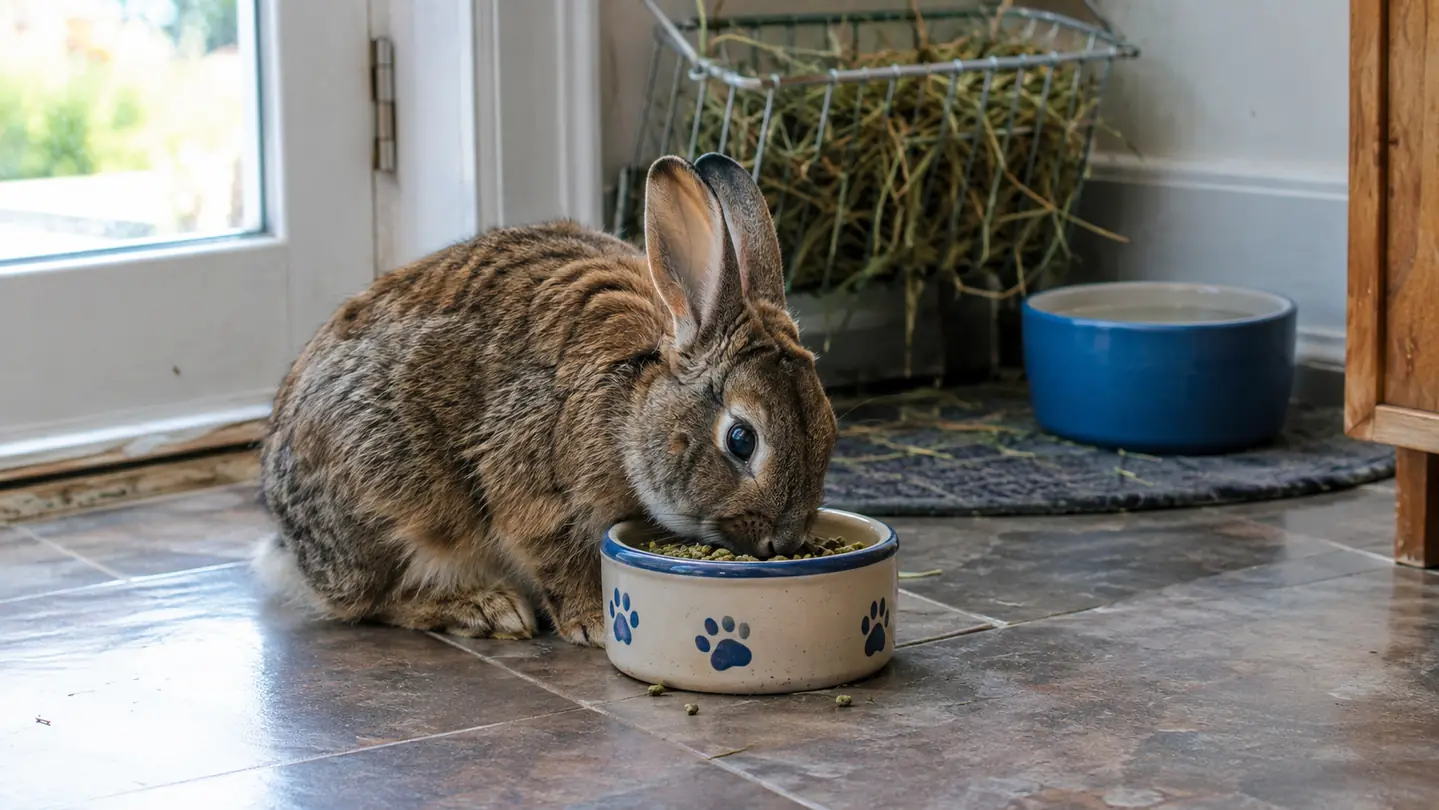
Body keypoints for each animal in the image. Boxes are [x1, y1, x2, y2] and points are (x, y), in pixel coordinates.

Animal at [255, 153, 838, 646]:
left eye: (829, 433)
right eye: (741, 440)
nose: (784, 543)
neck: (632, 404)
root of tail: (288, 539)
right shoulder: (536, 496)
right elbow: (559, 561)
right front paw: (597, 624)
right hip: (386, 505)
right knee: (374, 601)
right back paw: (488, 609)